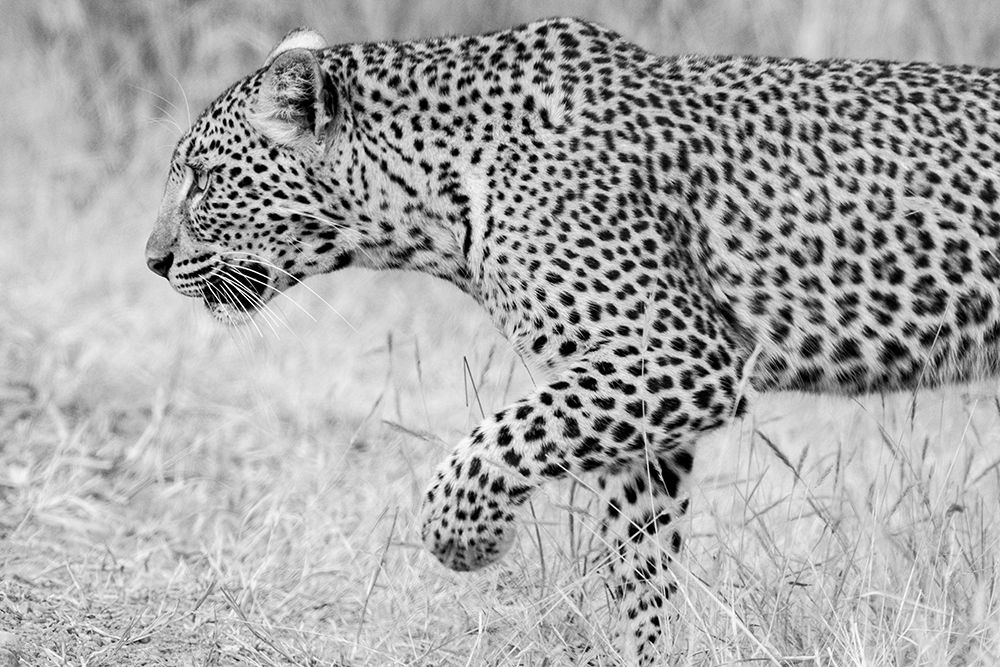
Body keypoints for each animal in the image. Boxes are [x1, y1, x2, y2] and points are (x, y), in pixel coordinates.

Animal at [145, 16, 1000, 665]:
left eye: (201, 178)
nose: (152, 261)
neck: (426, 199)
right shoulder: (644, 412)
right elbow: (641, 562)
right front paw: (643, 652)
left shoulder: (680, 353)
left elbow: (491, 443)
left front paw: (466, 541)